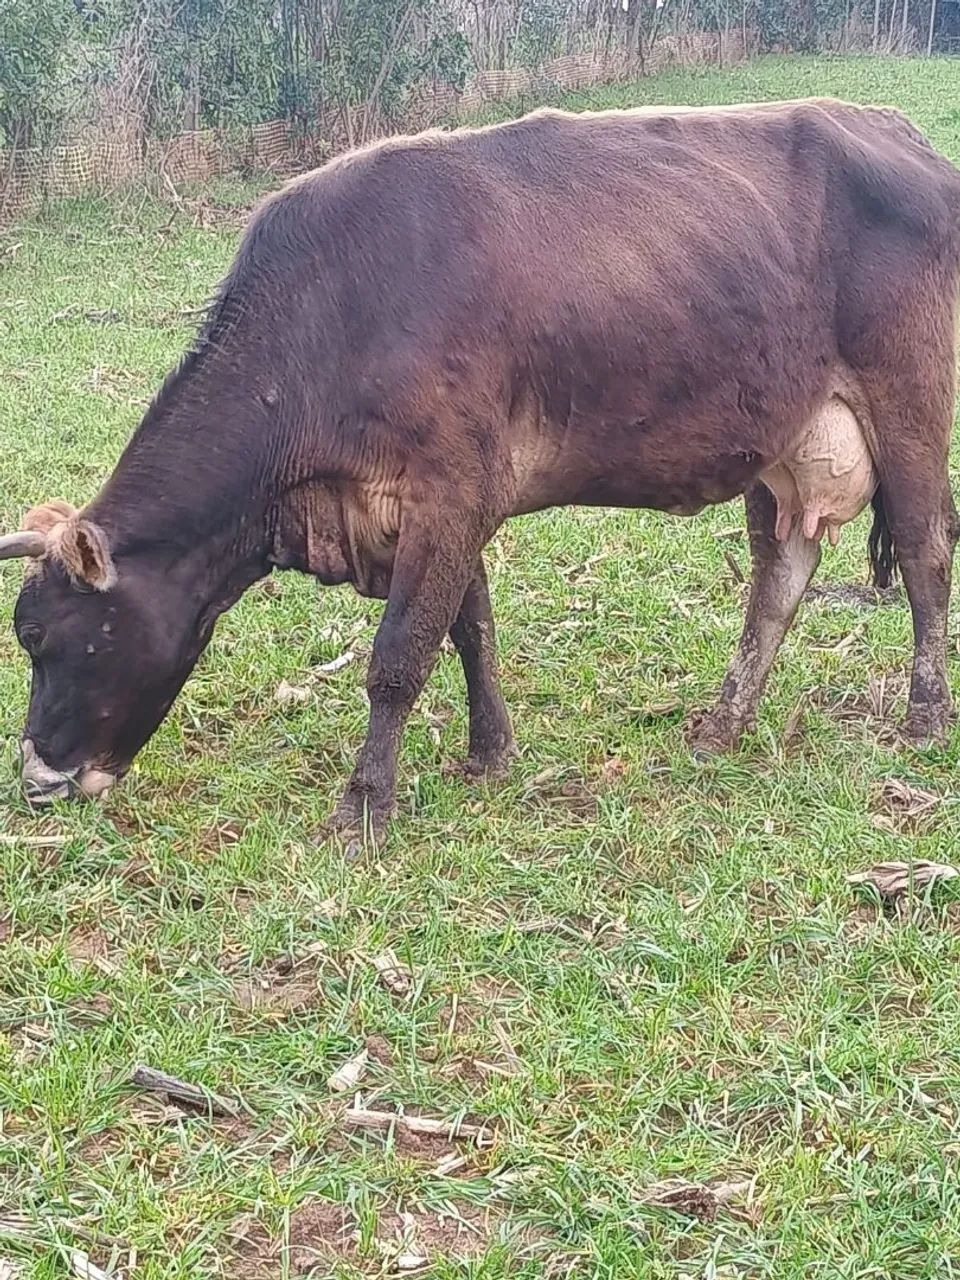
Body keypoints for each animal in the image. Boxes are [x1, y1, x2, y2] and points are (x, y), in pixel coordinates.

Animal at [3, 97, 960, 840]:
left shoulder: (452, 487)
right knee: (780, 576)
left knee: (923, 555)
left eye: (45, 638)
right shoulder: (432, 506)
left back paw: (923, 715)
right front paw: (489, 751)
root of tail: (900, 133)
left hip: (909, 404)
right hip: (784, 441)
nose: (38, 779)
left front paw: (364, 807)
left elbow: (399, 655)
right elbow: (470, 626)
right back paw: (723, 724)